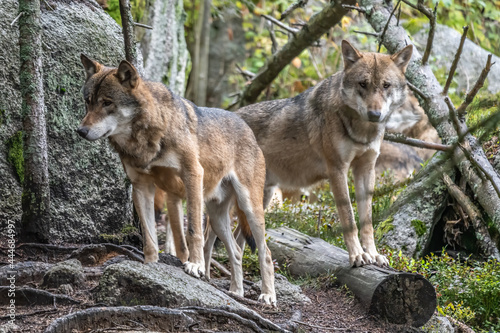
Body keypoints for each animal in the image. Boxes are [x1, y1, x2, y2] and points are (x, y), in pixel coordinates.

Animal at [77, 55, 278, 304]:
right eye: (88, 102)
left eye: (107, 103)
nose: (80, 131)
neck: (146, 137)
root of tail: (246, 127)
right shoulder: (142, 187)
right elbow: (150, 236)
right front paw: (150, 266)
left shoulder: (192, 175)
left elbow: (192, 231)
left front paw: (195, 265)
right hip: (217, 217)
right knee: (237, 252)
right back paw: (236, 292)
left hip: (249, 208)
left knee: (265, 252)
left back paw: (268, 295)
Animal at [238, 40, 414, 266]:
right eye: (362, 84)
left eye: (386, 85)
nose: (375, 114)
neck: (362, 131)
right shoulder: (337, 170)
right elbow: (349, 219)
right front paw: (357, 255)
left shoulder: (366, 170)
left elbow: (367, 222)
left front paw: (373, 254)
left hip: (260, 201)